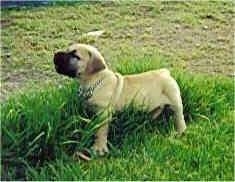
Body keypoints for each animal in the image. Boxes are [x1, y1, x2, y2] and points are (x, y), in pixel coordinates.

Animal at [53, 43, 187, 155]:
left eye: (75, 56)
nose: (55, 54)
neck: (94, 81)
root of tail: (165, 72)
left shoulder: (104, 113)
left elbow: (100, 131)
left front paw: (99, 148)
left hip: (175, 101)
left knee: (179, 118)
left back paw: (180, 132)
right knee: (156, 111)